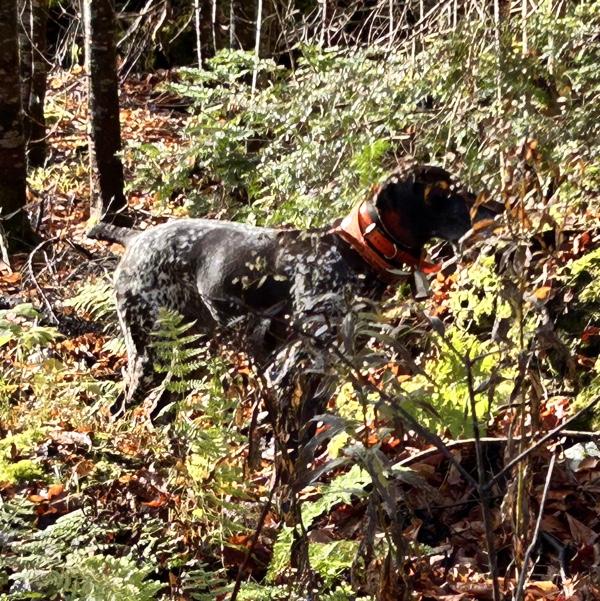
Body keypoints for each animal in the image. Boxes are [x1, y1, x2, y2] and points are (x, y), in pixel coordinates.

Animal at [86, 165, 494, 432]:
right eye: (441, 194)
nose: (495, 209)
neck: (356, 250)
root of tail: (135, 239)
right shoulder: (294, 366)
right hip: (149, 354)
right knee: (119, 408)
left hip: (194, 352)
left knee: (158, 412)